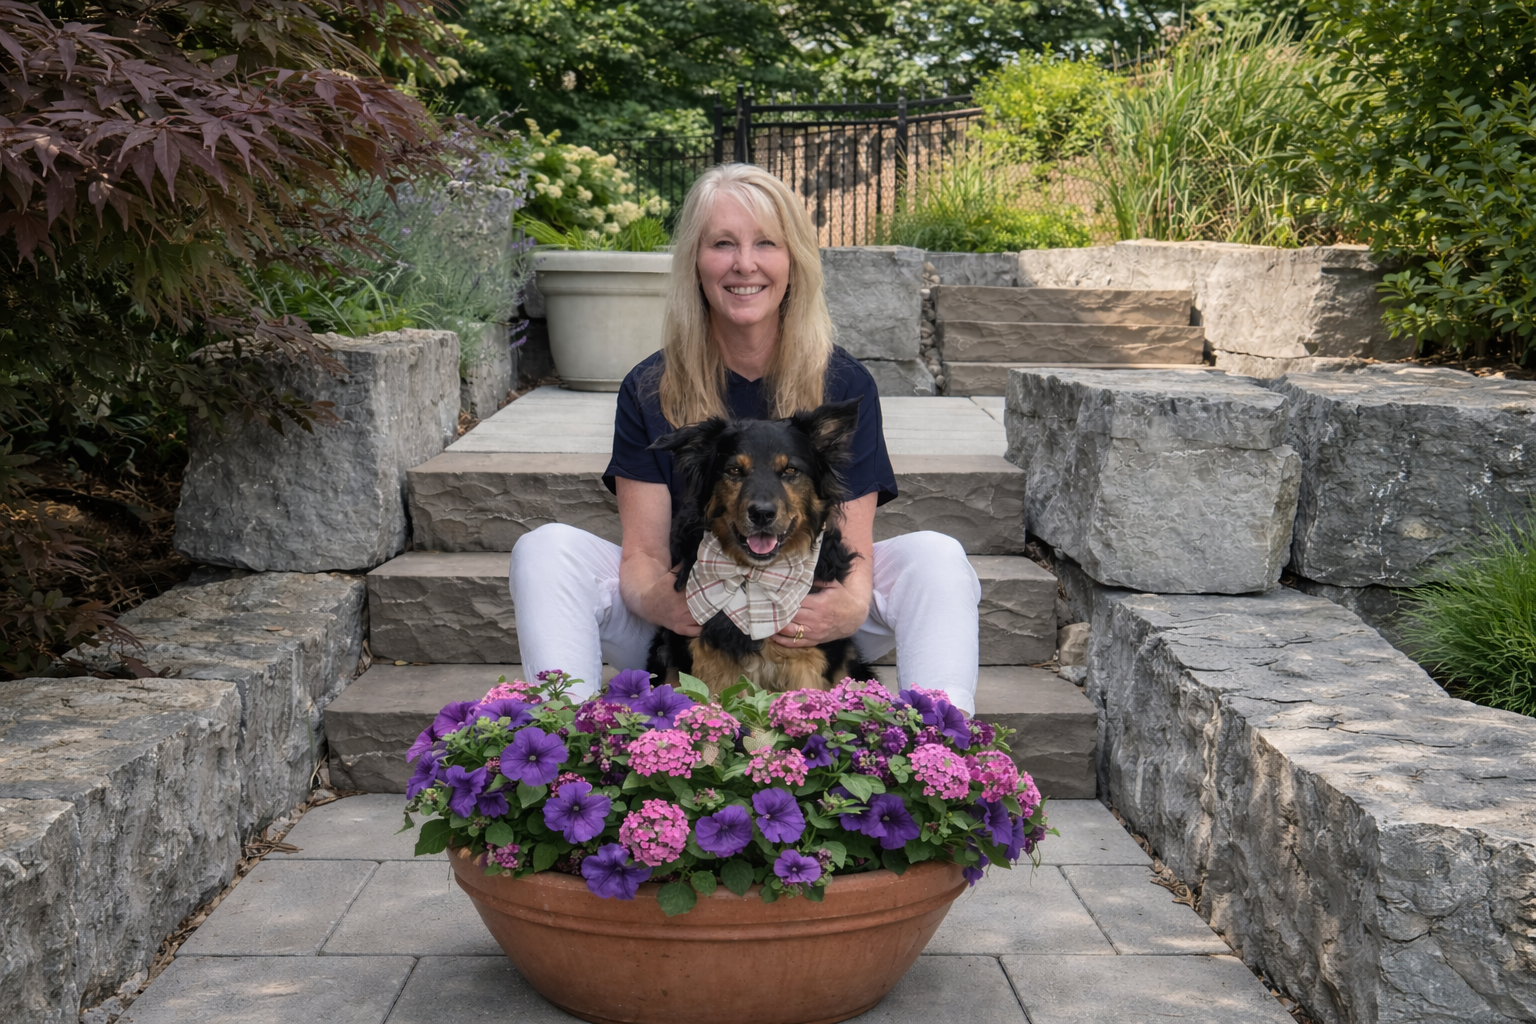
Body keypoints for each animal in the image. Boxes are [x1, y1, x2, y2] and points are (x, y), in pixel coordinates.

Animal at [645, 397, 876, 696]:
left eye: (790, 470)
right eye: (734, 470)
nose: (762, 514)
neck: (755, 575)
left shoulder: (807, 658)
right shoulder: (711, 657)